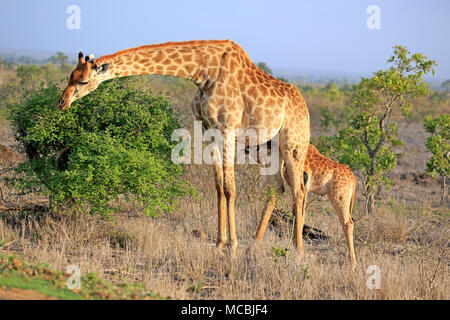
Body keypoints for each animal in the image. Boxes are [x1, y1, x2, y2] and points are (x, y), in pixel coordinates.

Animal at [58, 39, 310, 258]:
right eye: (70, 76)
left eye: (83, 81)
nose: (62, 103)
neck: (203, 74)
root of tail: (305, 108)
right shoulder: (209, 130)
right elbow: (219, 186)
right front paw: (220, 244)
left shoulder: (227, 129)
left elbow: (230, 187)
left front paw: (233, 247)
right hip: (267, 147)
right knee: (277, 187)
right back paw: (256, 243)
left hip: (293, 143)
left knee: (298, 189)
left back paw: (297, 250)